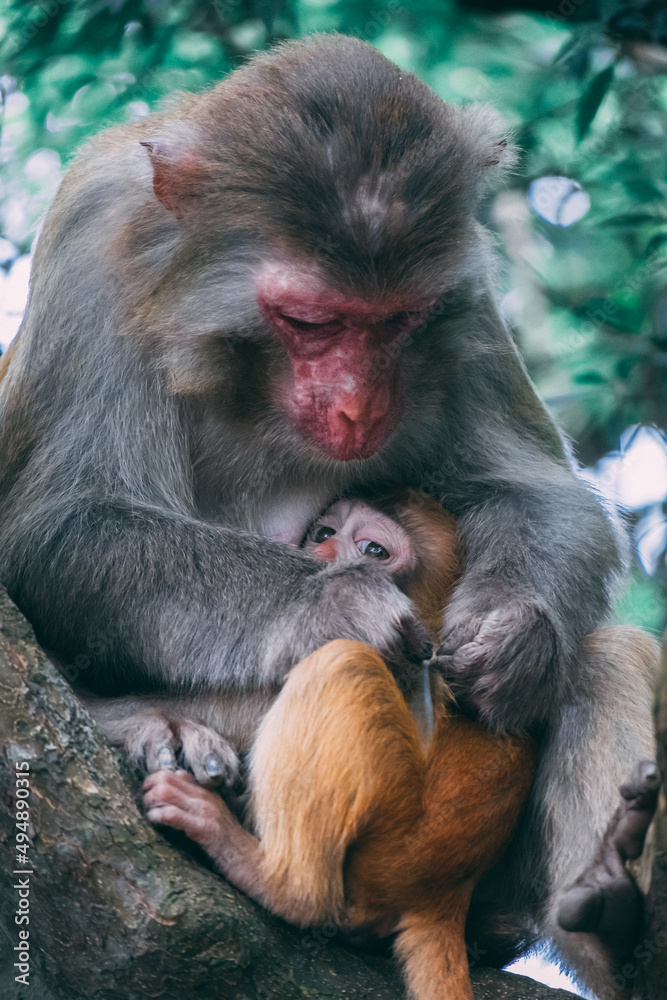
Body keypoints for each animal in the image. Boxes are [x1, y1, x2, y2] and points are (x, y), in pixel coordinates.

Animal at [0, 33, 658, 995]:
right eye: (310, 321)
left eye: (398, 322)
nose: (356, 411)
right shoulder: (93, 237)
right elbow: (63, 527)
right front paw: (333, 602)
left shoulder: (465, 281)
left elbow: (533, 489)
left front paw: (515, 635)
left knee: (604, 655)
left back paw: (605, 913)